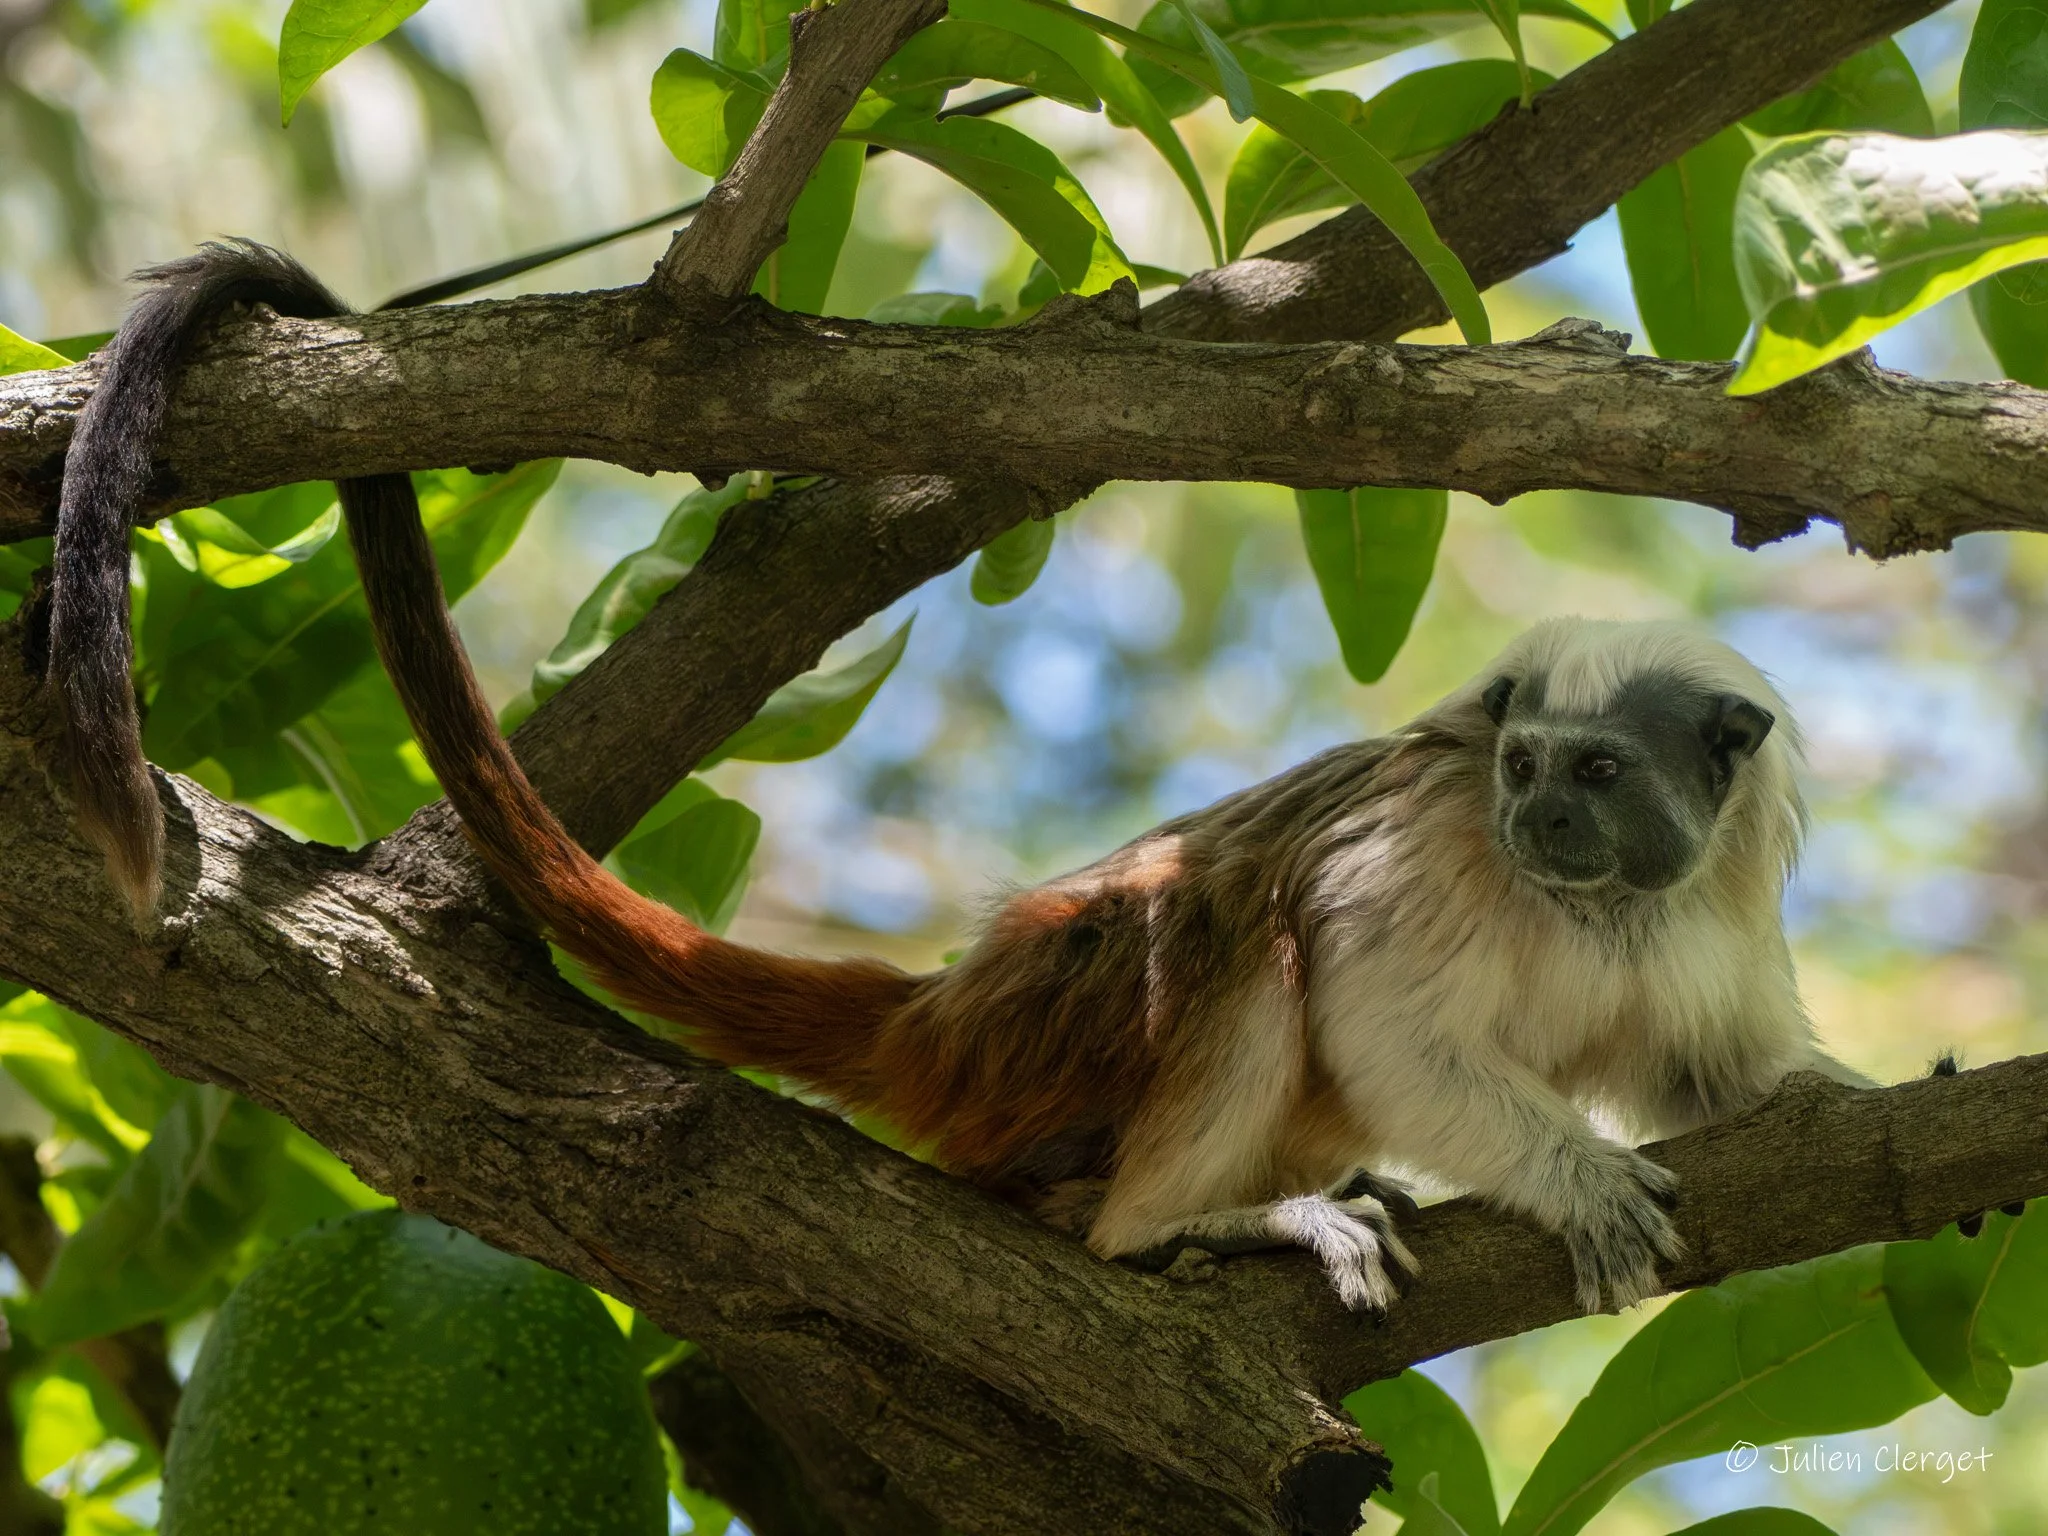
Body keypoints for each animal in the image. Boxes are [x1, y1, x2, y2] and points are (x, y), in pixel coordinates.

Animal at [47, 241, 1868, 1314]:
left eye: (1595, 775)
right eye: (1529, 768)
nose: (1535, 815)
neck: (1598, 906)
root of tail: (945, 1012)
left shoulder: (1707, 924)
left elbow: (1729, 1091)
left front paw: (1842, 1116)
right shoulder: (1431, 848)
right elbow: (1375, 1013)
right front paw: (1566, 1174)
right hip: (1059, 1023)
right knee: (1235, 931)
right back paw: (1180, 1224)